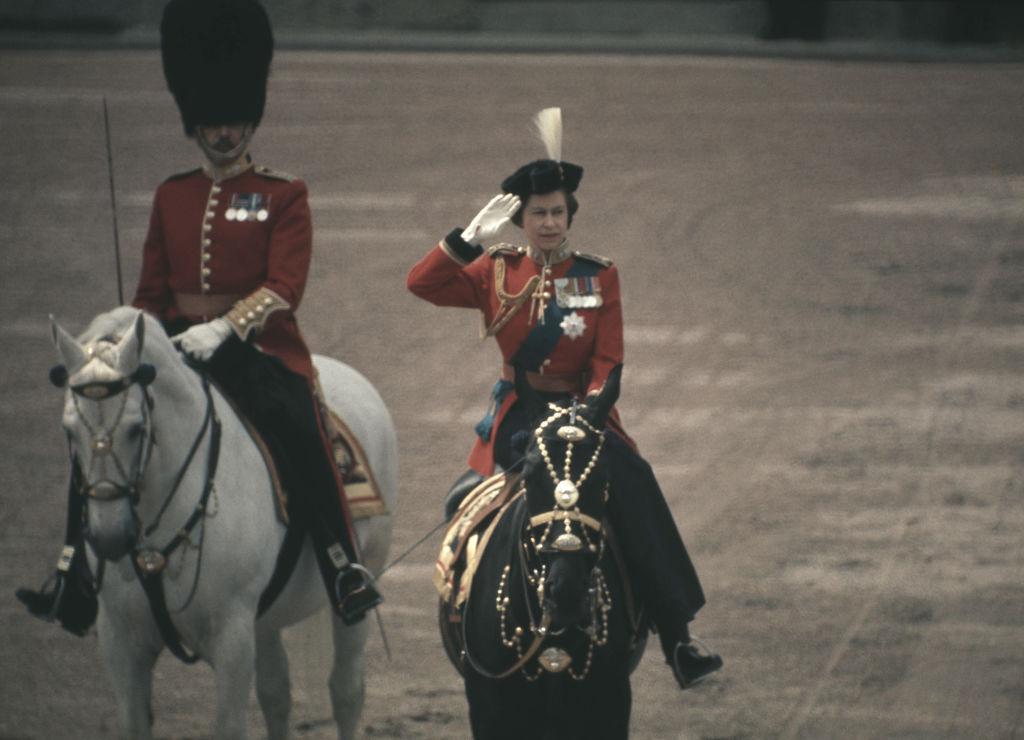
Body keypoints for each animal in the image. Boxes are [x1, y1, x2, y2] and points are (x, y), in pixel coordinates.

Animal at [48, 306, 396, 740]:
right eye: (68, 430)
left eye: (135, 428)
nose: (109, 536)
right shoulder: (120, 640)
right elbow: (134, 722)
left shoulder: (231, 639)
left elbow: (230, 725)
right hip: (264, 618)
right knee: (276, 694)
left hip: (361, 581)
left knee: (346, 690)